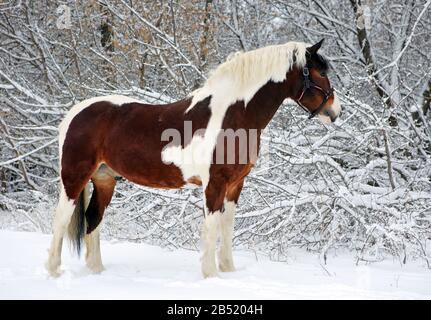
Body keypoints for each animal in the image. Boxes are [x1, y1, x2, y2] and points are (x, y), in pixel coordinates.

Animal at [44, 38, 340, 278]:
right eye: (318, 72)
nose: (335, 111)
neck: (232, 115)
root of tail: (75, 113)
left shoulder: (236, 184)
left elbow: (227, 225)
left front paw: (228, 271)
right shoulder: (215, 183)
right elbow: (211, 227)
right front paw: (210, 275)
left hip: (105, 179)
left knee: (93, 219)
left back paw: (96, 271)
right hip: (74, 177)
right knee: (61, 218)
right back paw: (54, 272)